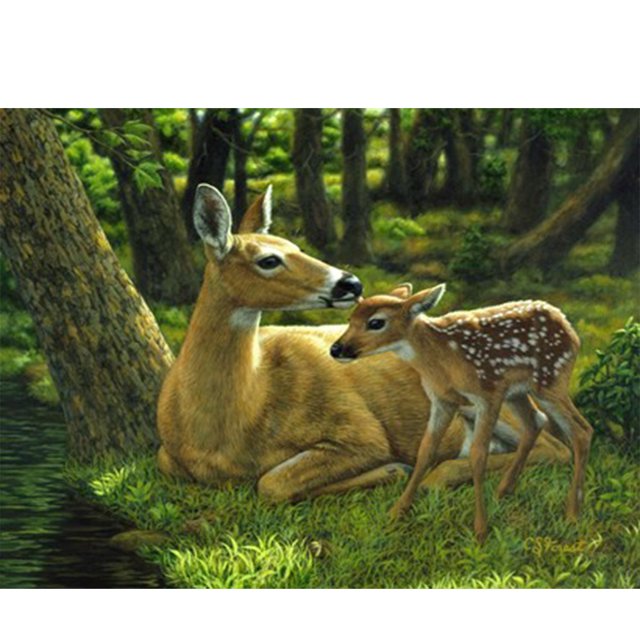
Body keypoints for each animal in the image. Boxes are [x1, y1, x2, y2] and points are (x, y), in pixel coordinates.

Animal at [157, 185, 571, 506]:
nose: (351, 283)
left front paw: (392, 468)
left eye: (296, 245)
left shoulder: (360, 431)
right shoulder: (166, 455)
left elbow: (271, 483)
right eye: (269, 260)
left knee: (554, 446)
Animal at [331, 283, 592, 542]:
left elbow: (478, 454)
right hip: (517, 392)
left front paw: (480, 530)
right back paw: (503, 491)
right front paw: (396, 512)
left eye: (376, 322)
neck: (441, 359)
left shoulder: (487, 395)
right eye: (350, 318)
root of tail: (568, 326)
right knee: (536, 421)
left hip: (550, 379)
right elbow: (426, 450)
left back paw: (572, 514)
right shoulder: (442, 400)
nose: (336, 349)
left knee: (581, 430)